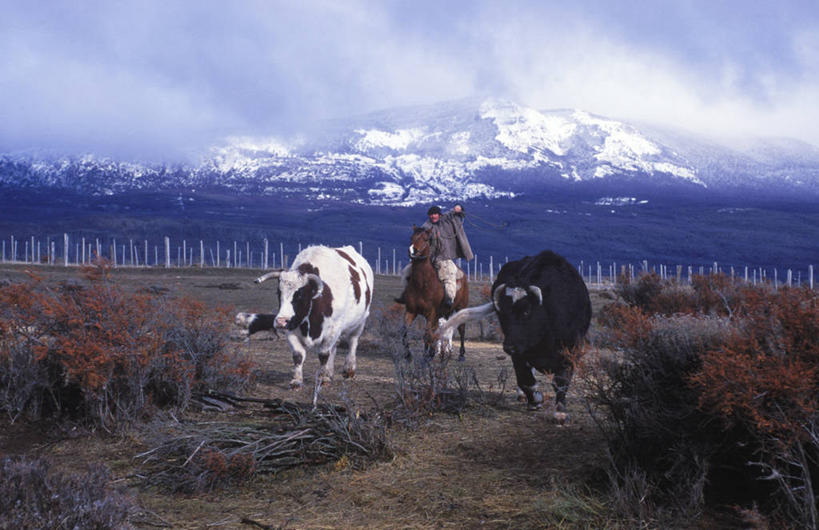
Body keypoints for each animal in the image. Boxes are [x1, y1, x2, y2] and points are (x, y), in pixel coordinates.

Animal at [397, 225, 469, 359]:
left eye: (426, 239)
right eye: (411, 237)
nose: (412, 251)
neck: (422, 284)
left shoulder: (430, 313)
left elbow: (427, 335)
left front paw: (426, 356)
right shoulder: (411, 311)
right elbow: (405, 332)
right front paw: (409, 354)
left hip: (461, 307)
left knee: (461, 328)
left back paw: (461, 354)